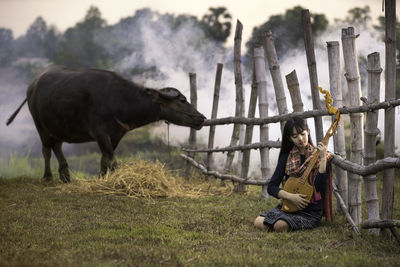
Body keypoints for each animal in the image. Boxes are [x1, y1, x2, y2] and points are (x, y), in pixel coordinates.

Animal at [6, 64, 206, 184]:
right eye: (182, 100)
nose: (201, 118)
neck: (120, 100)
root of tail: (32, 85)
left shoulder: (116, 134)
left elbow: (105, 159)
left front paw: (102, 179)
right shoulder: (100, 133)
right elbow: (113, 160)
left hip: (58, 127)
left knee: (57, 147)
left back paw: (66, 176)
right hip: (40, 125)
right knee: (46, 149)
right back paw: (48, 177)